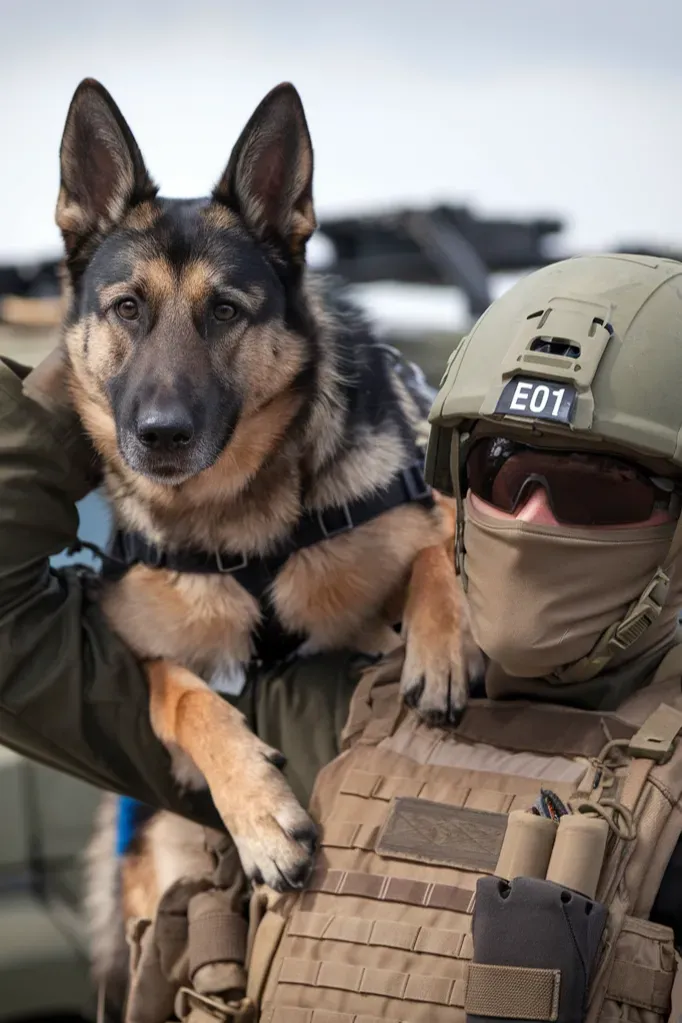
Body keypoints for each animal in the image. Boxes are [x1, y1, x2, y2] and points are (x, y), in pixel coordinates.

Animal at [53, 81, 480, 1006]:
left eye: (224, 311)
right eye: (128, 307)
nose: (160, 436)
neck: (237, 524)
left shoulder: (420, 510)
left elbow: (440, 548)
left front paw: (442, 645)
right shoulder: (138, 654)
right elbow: (183, 695)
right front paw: (259, 813)